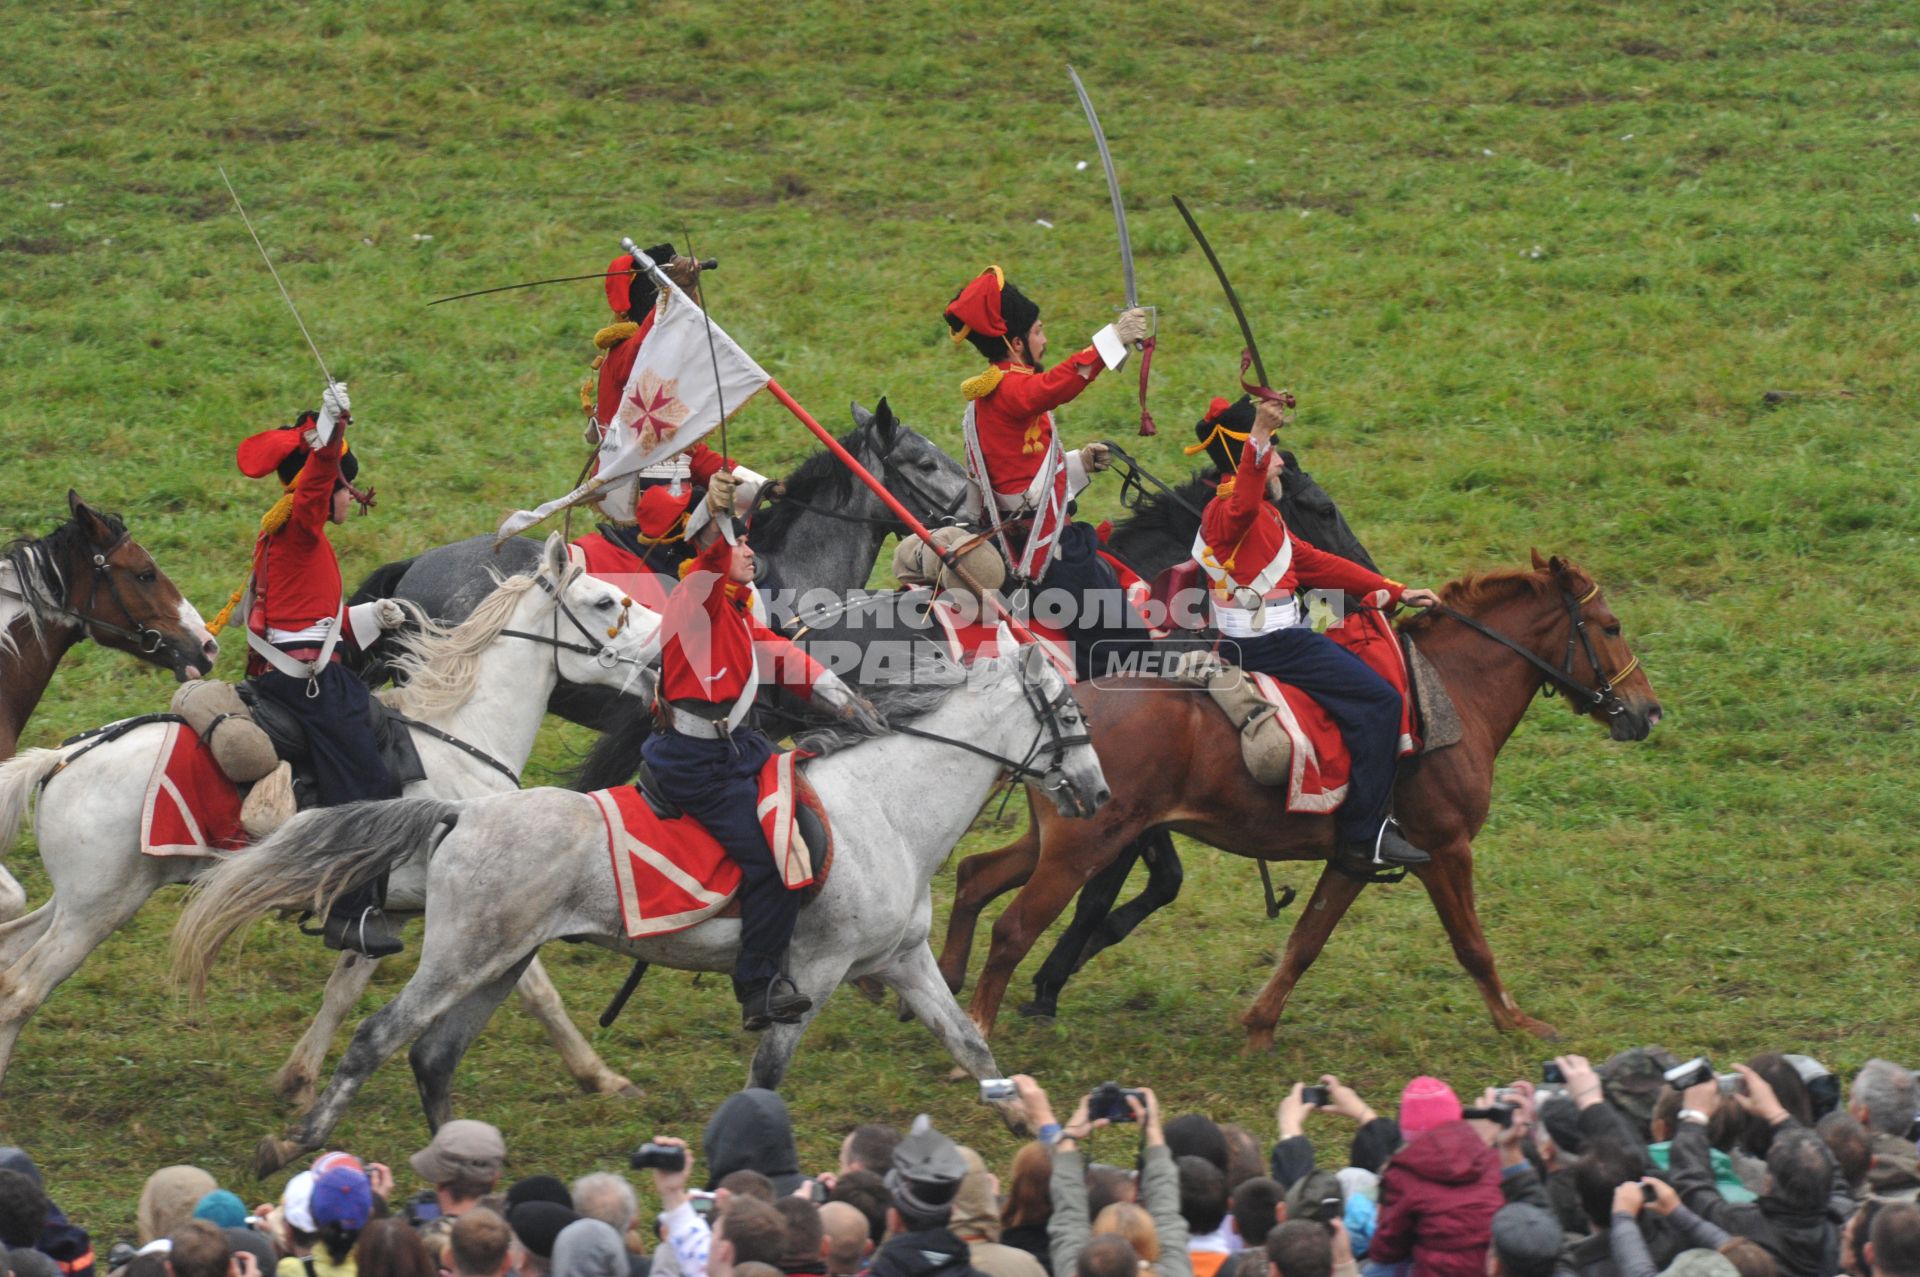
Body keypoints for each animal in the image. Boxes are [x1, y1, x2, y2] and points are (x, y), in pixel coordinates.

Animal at [0, 526, 660, 1098]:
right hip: (100, 910)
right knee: (24, 988)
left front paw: (297, 1080)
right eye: (605, 601)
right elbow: (537, 992)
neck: (463, 736)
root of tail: (62, 758)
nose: (665, 654)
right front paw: (600, 1076)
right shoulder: (497, 906)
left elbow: (343, 990)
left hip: (79, 902)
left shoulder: (387, 909)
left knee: (11, 958)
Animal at [183, 637, 1113, 1167]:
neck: (887, 807)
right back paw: (296, 1141)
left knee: (433, 1057)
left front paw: (1028, 1126)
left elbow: (971, 1044)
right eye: (1068, 708)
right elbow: (768, 1077)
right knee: (381, 1037)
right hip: (460, 958)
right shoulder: (811, 974)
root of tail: (463, 812)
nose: (1100, 793)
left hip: (500, 962)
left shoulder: (905, 962)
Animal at [936, 549, 1658, 1044]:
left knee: (974, 877)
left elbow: (1306, 941)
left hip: (1061, 838)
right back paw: (976, 1029)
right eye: (1611, 624)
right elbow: (1472, 946)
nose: (1647, 710)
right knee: (1013, 928)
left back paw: (946, 985)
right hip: (1082, 847)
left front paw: (1259, 1022)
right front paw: (1517, 1021)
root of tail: (1059, 708)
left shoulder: (1356, 857)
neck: (1451, 691)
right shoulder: (1447, 849)